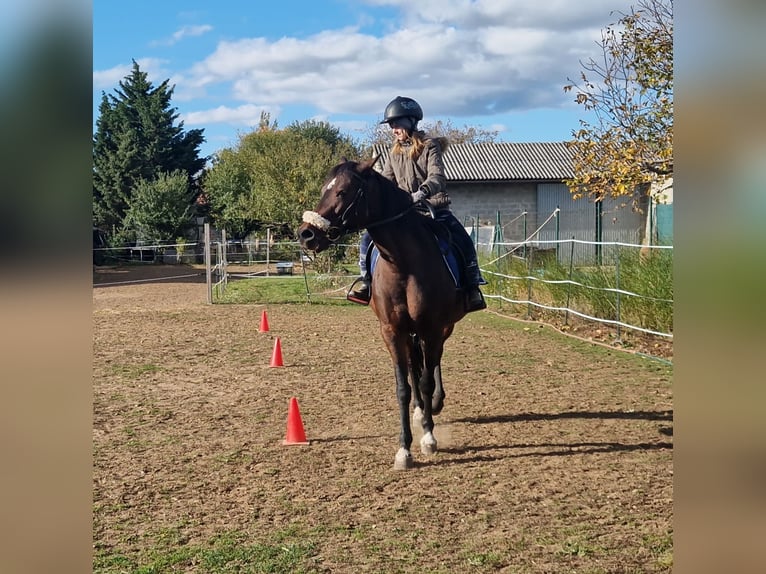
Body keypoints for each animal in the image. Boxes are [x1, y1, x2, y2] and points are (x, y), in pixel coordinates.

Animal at [297, 156, 469, 470]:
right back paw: (420, 410)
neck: (404, 265)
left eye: (342, 191)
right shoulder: (392, 331)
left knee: (434, 364)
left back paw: (434, 404)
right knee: (416, 366)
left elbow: (426, 380)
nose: (306, 234)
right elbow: (403, 387)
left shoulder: (431, 328)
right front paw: (404, 449)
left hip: (442, 328)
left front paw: (429, 438)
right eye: (324, 189)